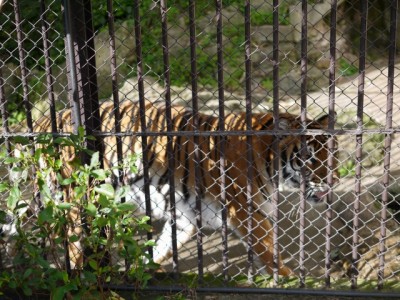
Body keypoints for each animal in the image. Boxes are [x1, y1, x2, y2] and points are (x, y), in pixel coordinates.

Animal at [31, 100, 336, 276]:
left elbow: (162, 247)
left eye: (331, 154)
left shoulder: (185, 216)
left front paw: (142, 268)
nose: (331, 180)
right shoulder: (246, 209)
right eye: (309, 157)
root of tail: (48, 119)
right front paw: (285, 275)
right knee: (72, 243)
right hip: (77, 199)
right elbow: (267, 245)